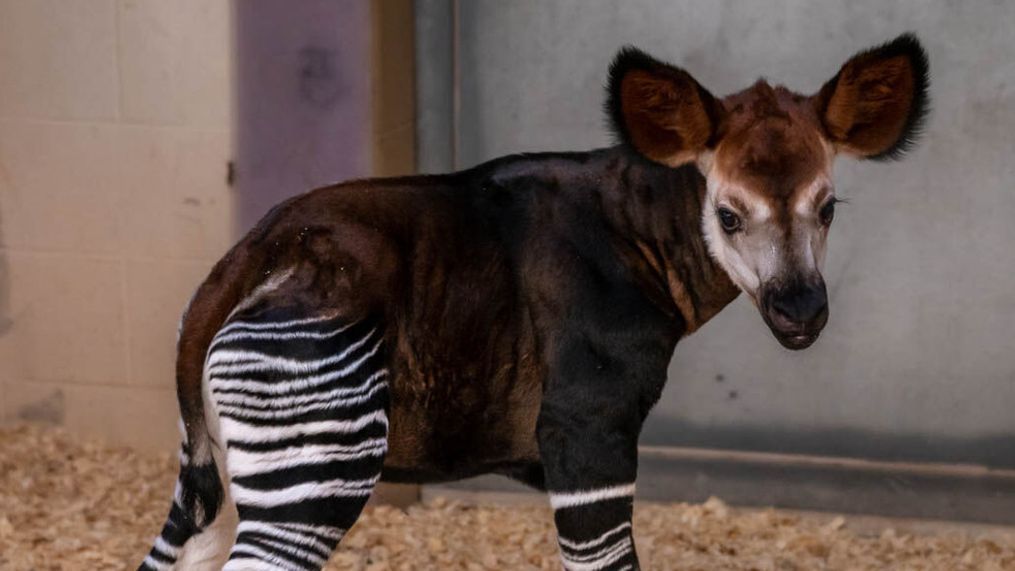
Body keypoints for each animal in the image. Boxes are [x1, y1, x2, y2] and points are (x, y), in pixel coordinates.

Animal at [141, 33, 929, 567]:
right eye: (729, 215)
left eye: (827, 208)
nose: (801, 312)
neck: (639, 234)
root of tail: (249, 256)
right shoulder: (587, 428)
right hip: (317, 454)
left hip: (219, 472)